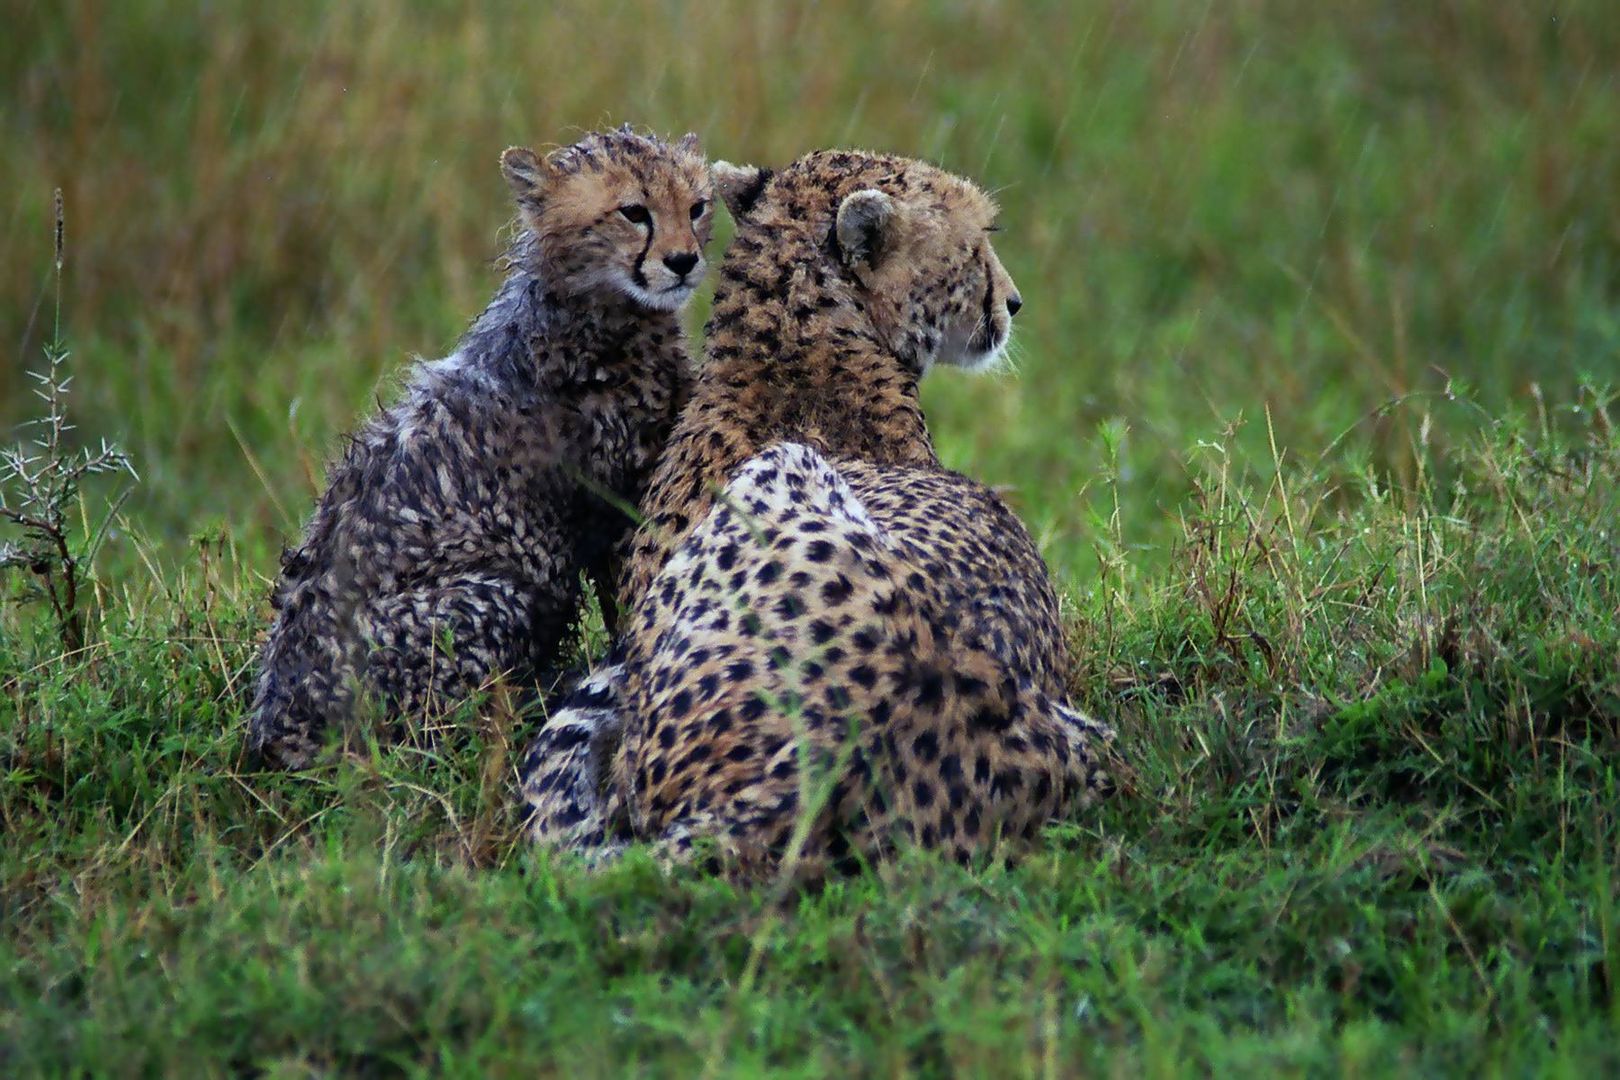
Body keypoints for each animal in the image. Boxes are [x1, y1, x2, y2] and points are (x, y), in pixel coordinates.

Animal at [246, 127, 716, 767]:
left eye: (697, 207)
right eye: (633, 212)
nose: (683, 261)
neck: (587, 309)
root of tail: (273, 725)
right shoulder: (615, 505)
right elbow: (631, 602)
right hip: (496, 599)